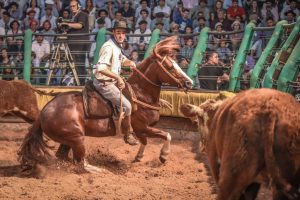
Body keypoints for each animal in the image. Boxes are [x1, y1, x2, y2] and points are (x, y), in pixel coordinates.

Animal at [18, 35, 193, 172]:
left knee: (64, 157)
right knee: (80, 163)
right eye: (170, 67)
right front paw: (163, 156)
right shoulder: (142, 127)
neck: (140, 94)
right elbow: (167, 135)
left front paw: (139, 157)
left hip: (68, 139)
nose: (189, 83)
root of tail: (43, 112)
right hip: (77, 137)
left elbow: (145, 141)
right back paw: (97, 169)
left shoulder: (143, 130)